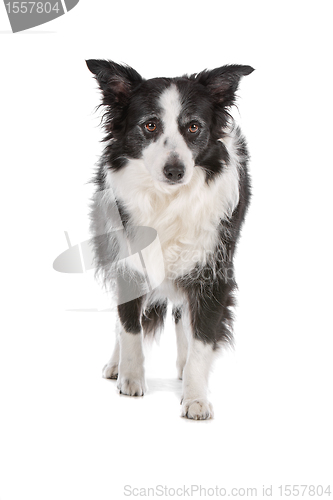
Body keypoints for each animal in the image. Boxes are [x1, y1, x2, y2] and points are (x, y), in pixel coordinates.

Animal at [86, 59, 254, 418]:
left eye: (193, 127)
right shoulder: (127, 259)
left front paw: (196, 396)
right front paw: (130, 378)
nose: (175, 170)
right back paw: (116, 364)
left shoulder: (213, 271)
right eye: (150, 125)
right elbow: (129, 326)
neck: (167, 200)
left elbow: (202, 338)